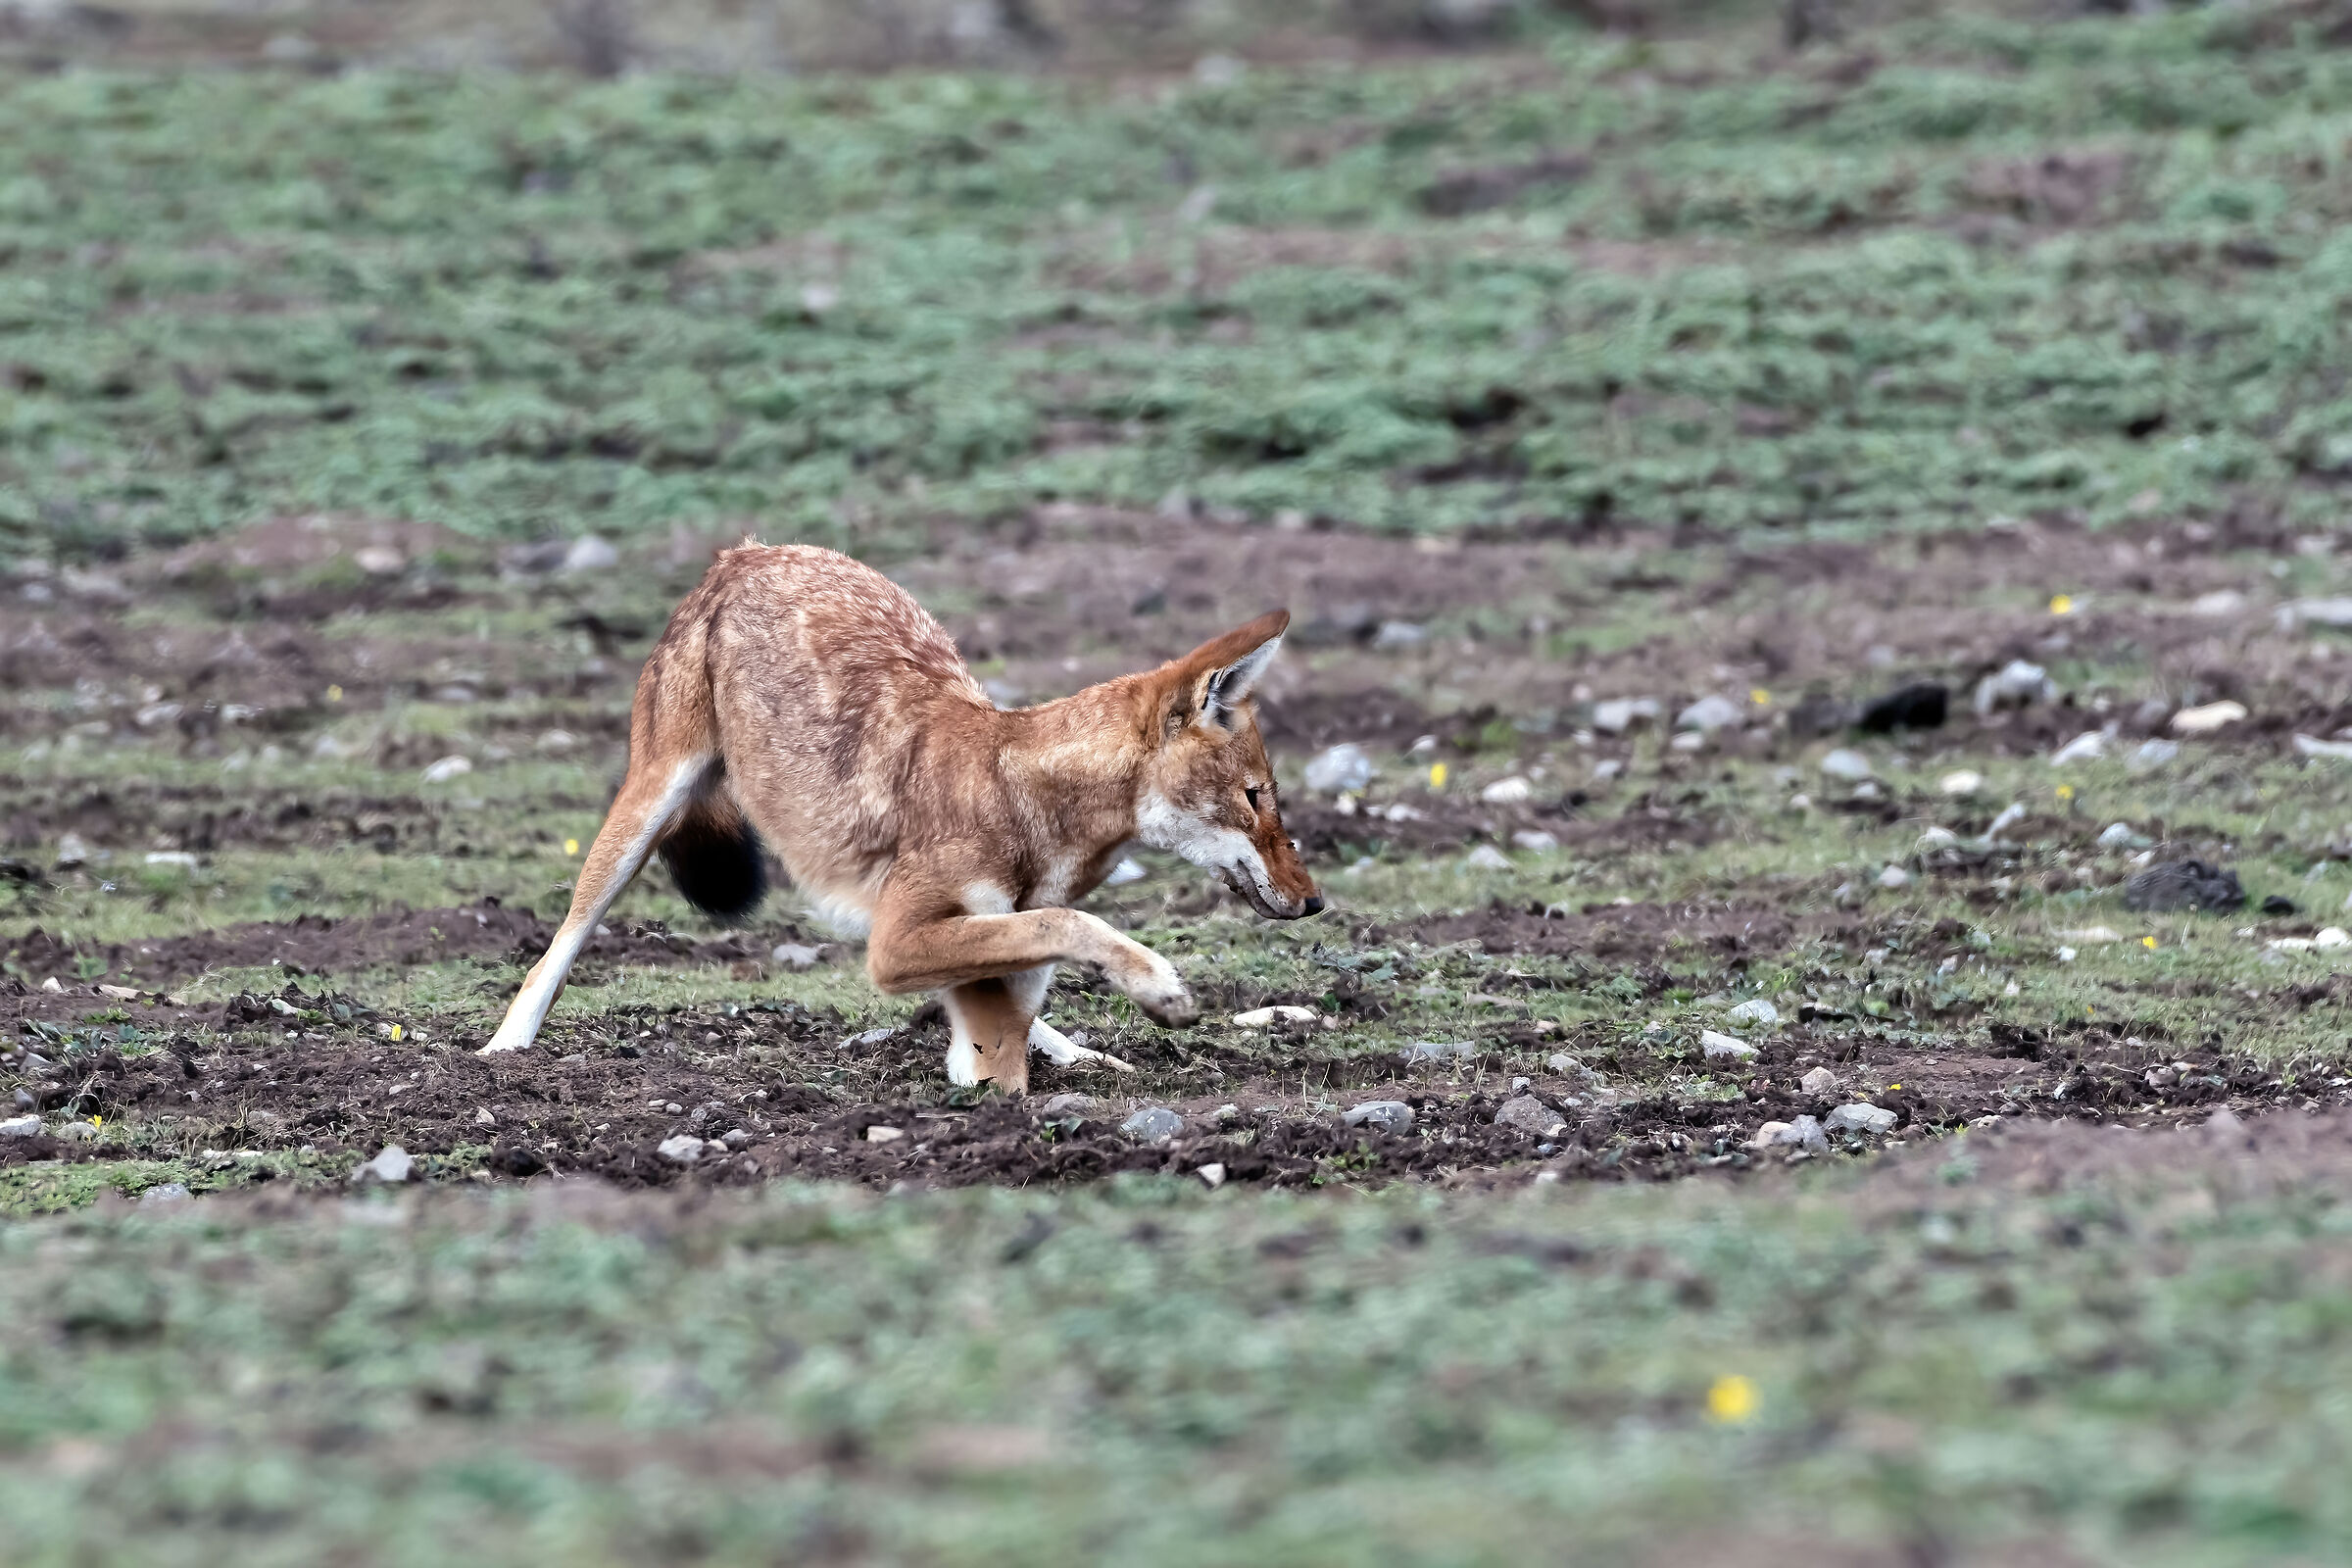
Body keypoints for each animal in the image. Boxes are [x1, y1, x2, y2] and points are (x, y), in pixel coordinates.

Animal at [479, 542, 1323, 1092]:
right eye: (1256, 796)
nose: (1315, 901)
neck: (1018, 793)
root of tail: (742, 553)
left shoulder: (967, 939)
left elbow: (1029, 967)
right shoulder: (900, 941)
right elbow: (1069, 930)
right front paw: (1160, 989)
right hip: (644, 815)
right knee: (554, 948)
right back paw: (502, 1049)